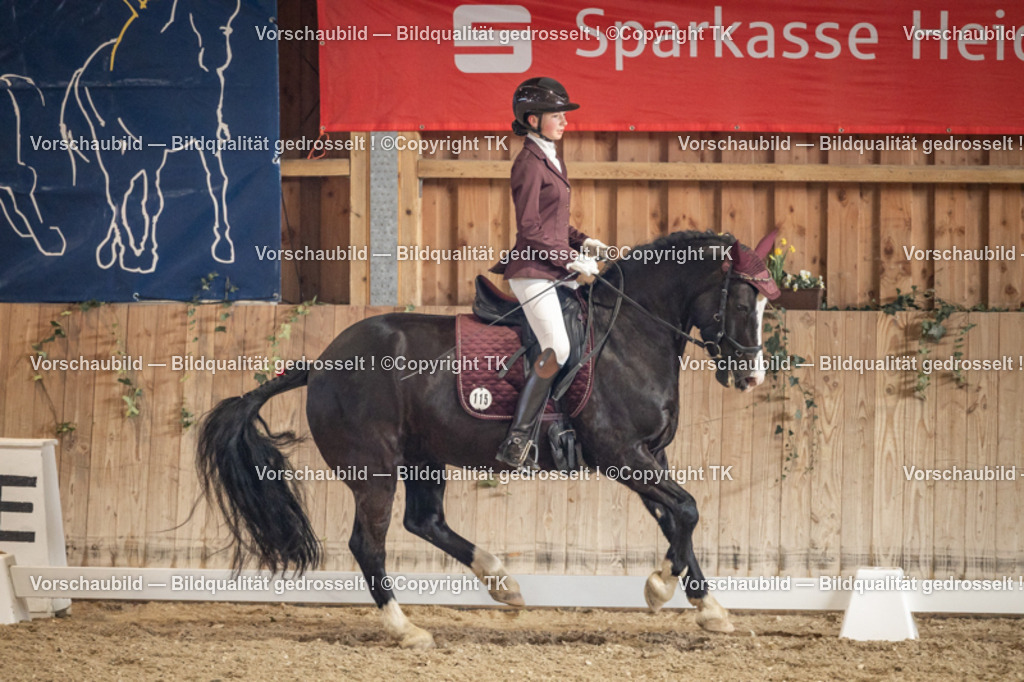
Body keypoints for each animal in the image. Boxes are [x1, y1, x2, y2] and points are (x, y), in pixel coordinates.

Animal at [197, 230, 773, 648]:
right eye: (743, 304)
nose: (750, 377)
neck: (631, 334)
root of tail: (321, 363)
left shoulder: (652, 455)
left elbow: (677, 518)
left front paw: (709, 608)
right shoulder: (623, 455)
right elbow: (689, 510)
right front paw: (659, 588)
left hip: (423, 459)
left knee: (424, 521)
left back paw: (502, 583)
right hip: (374, 470)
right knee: (369, 543)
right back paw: (407, 629)